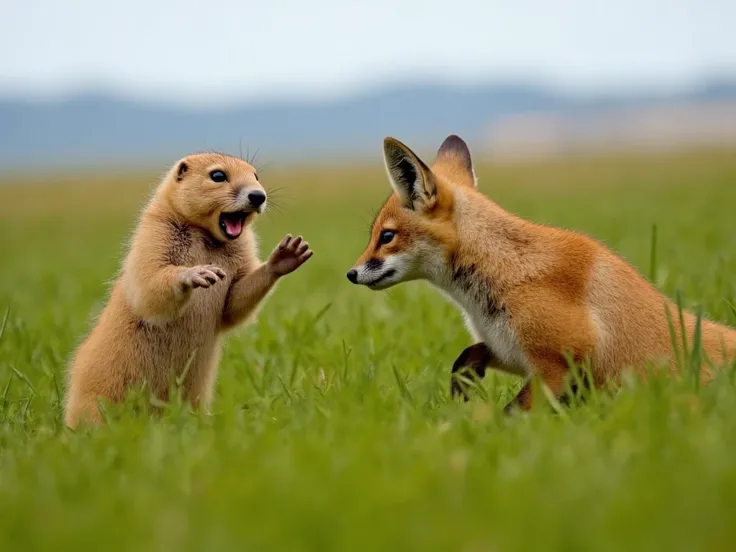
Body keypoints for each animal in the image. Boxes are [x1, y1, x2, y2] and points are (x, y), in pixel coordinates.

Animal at [346, 134, 736, 410]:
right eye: (376, 235)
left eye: (386, 236)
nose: (351, 274)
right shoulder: (512, 350)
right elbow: (466, 357)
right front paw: (462, 391)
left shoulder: (560, 362)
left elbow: (512, 416)